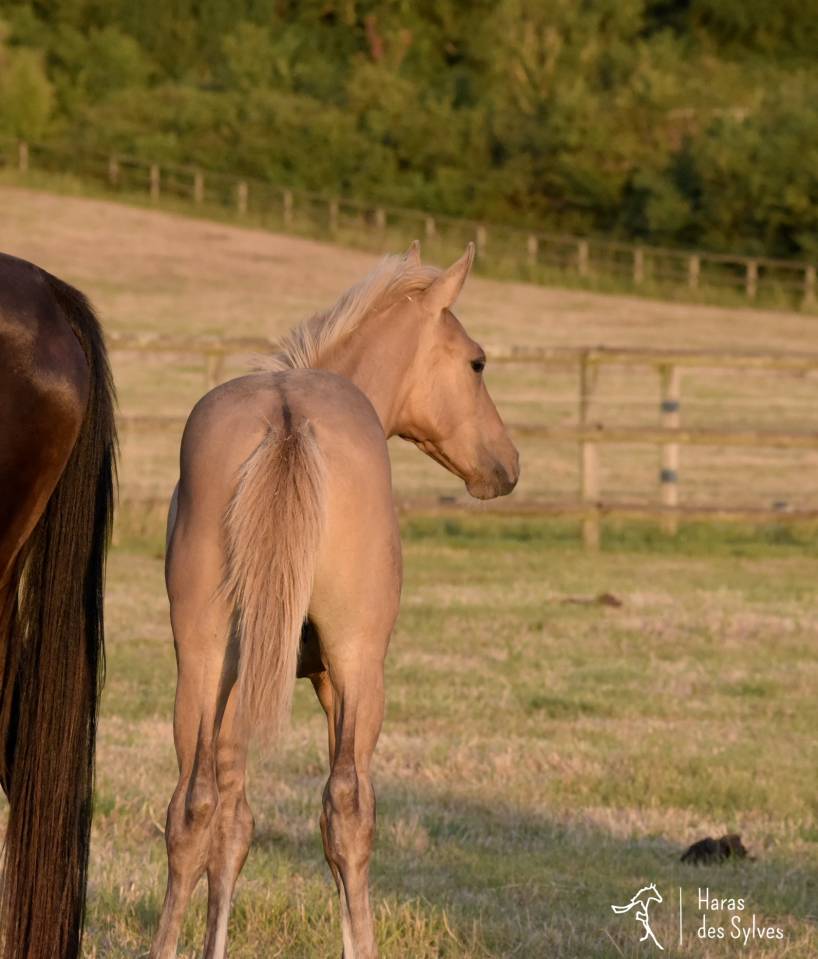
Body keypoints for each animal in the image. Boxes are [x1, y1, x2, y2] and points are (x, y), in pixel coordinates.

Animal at [149, 241, 519, 959]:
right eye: (477, 362)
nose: (507, 465)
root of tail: (287, 417)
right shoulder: (327, 676)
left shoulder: (238, 678)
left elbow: (230, 823)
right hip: (355, 663)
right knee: (348, 808)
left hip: (201, 661)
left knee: (192, 805)